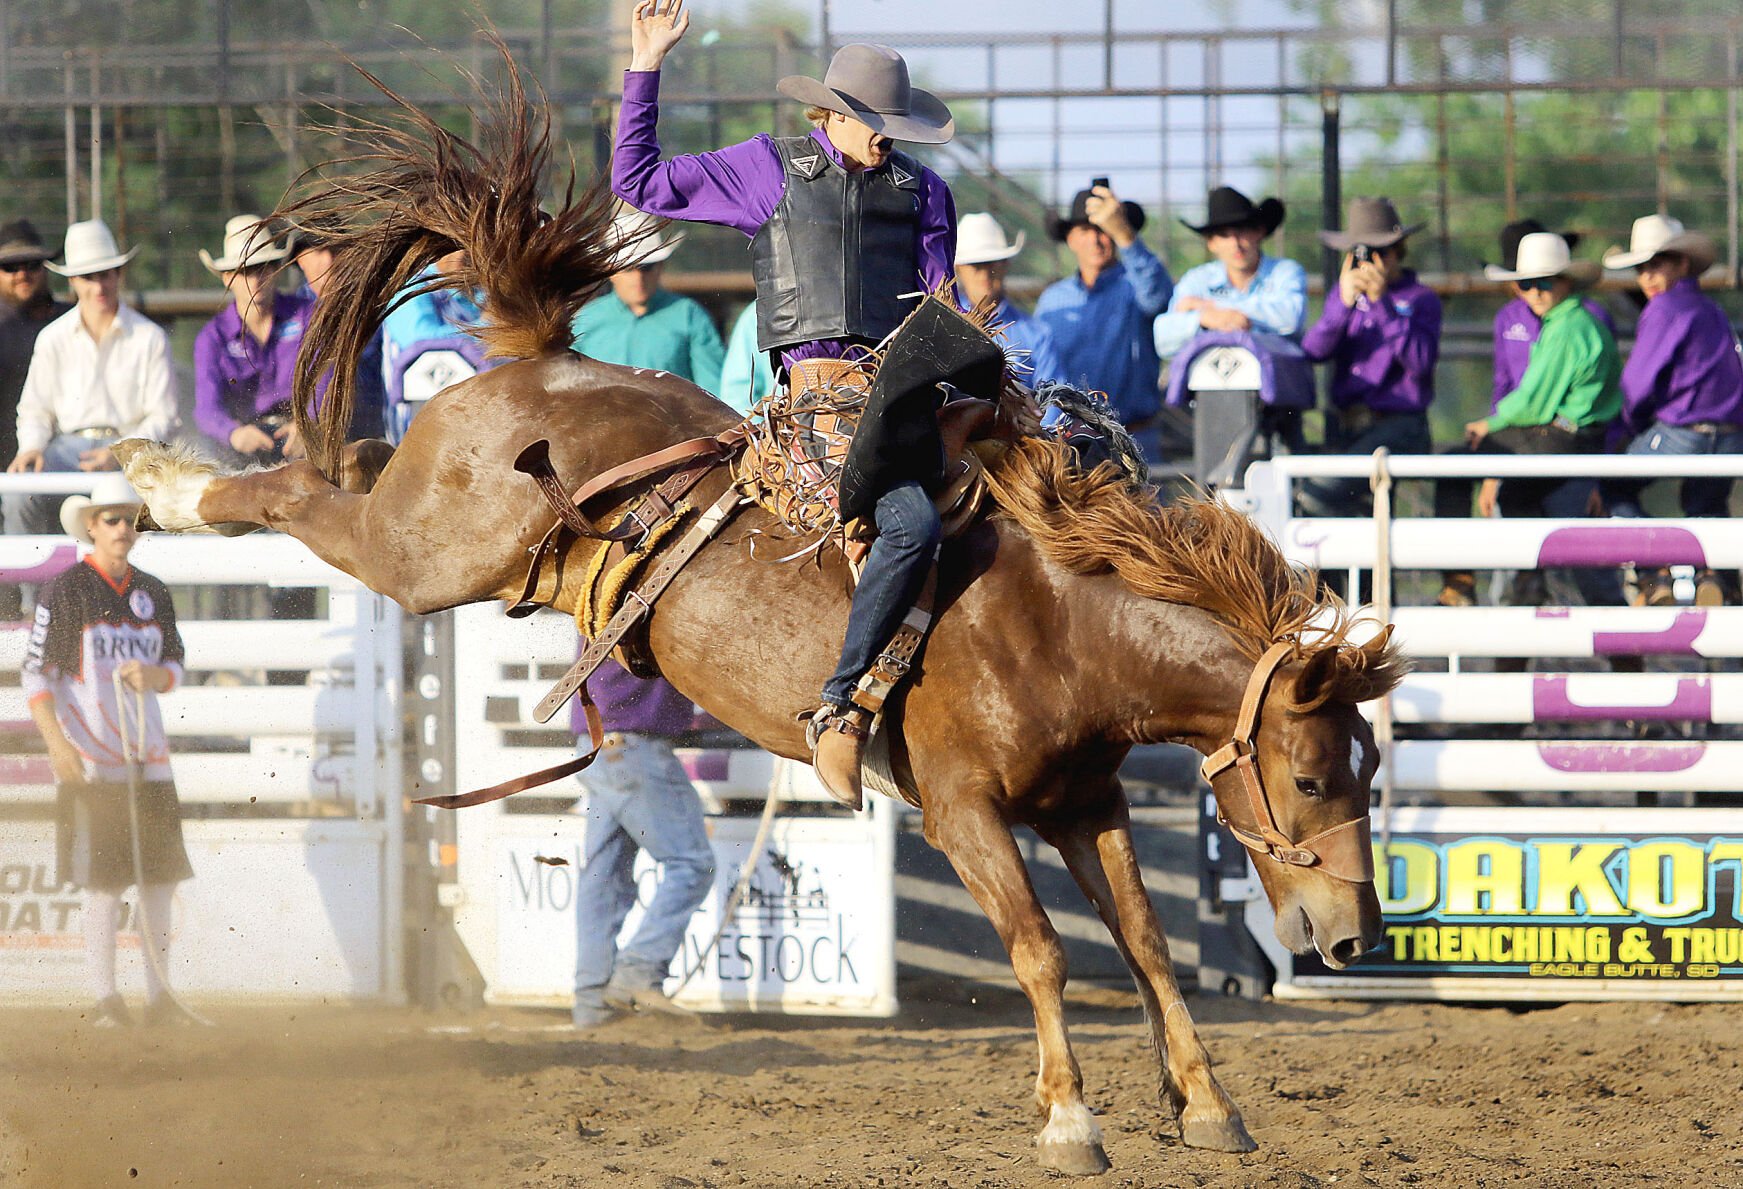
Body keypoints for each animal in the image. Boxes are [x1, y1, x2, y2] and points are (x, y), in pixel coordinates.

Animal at [112, 53, 1401, 1164]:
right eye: (1309, 777)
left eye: (1369, 771)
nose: (1357, 938)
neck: (1054, 623)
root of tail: (543, 356)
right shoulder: (964, 809)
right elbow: (1039, 950)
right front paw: (1071, 1123)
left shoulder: (1085, 801)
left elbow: (1143, 944)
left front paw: (1209, 1106)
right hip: (425, 553)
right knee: (298, 496)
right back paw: (157, 481)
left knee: (343, 464)